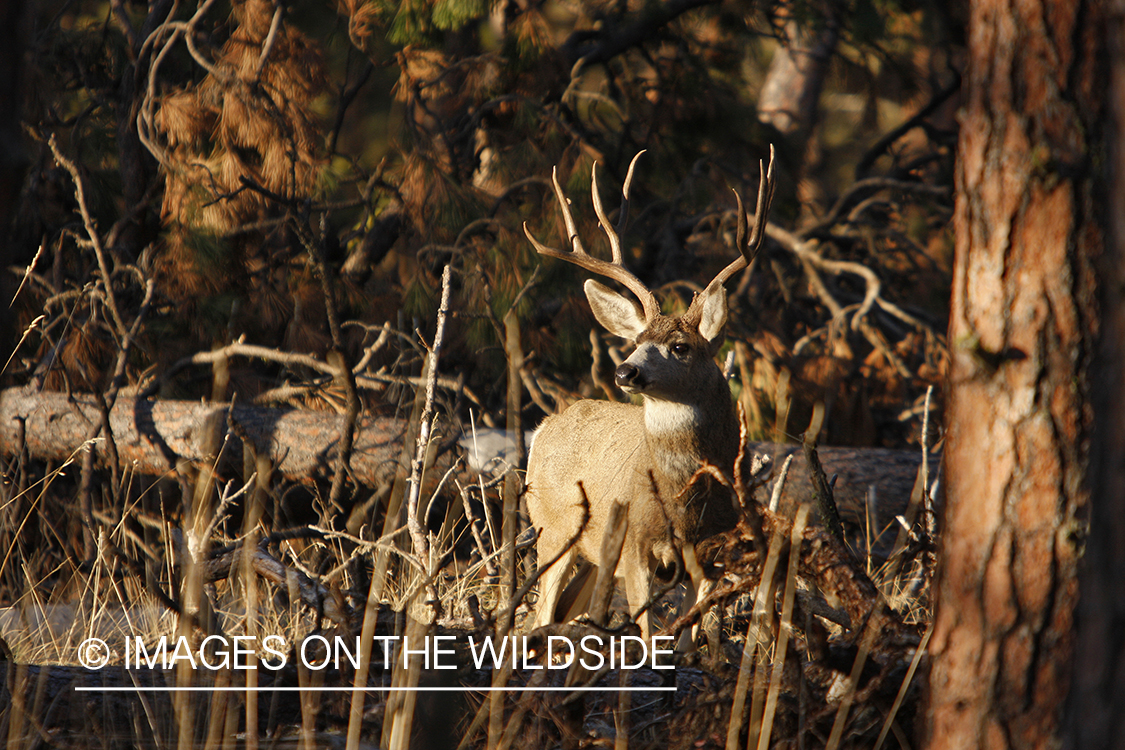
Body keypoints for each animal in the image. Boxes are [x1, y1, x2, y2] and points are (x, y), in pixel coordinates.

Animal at [523, 148, 776, 645]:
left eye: (680, 347)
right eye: (636, 340)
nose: (625, 371)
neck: (682, 504)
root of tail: (545, 426)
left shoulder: (710, 554)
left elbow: (696, 633)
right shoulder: (635, 547)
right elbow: (644, 631)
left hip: (589, 551)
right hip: (554, 527)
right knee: (541, 612)